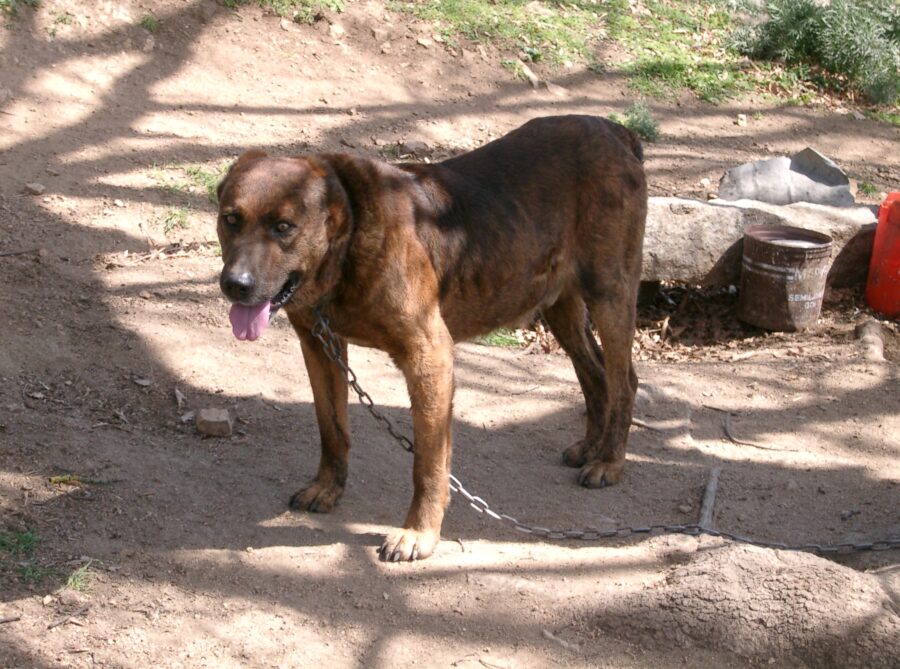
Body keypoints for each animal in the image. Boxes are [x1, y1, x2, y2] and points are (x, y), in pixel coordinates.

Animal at [218, 115, 648, 560]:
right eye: (230, 219)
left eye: (284, 227)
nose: (235, 285)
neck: (349, 241)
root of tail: (615, 131)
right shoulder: (320, 346)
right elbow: (332, 429)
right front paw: (328, 488)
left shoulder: (429, 357)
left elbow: (428, 463)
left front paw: (418, 533)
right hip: (559, 304)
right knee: (595, 375)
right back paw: (592, 447)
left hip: (610, 293)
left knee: (625, 381)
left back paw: (609, 462)